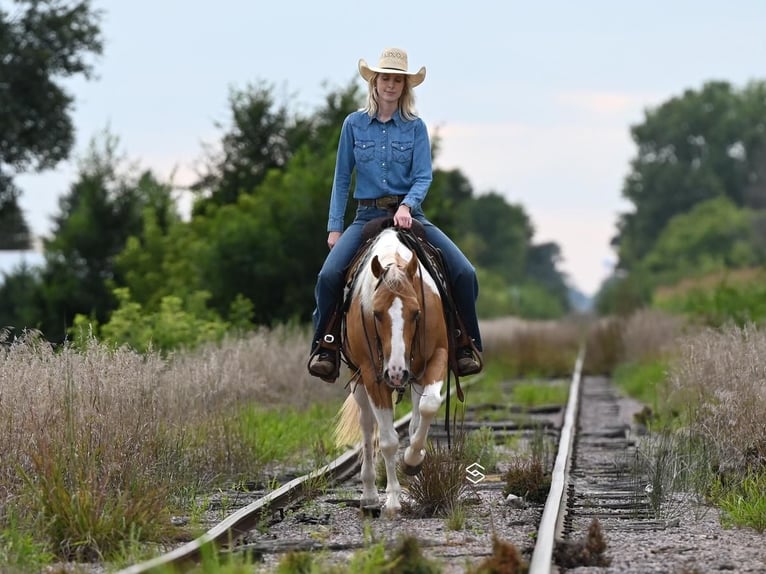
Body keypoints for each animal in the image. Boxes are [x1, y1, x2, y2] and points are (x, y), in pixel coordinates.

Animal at [336, 225, 450, 516]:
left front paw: (413, 460)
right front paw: (393, 500)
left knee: (415, 417)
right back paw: (369, 495)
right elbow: (387, 440)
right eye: (376, 313)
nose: (397, 373)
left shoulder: (437, 357)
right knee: (367, 426)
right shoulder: (372, 374)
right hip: (359, 379)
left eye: (417, 312)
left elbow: (429, 407)